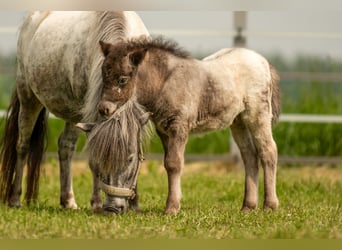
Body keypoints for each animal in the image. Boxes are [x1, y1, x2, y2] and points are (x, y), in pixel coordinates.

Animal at [0, 10, 150, 212]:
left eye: (130, 159)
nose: (112, 208)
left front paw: (135, 204)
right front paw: (96, 203)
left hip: (73, 114)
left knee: (65, 146)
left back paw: (68, 201)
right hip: (29, 99)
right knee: (23, 145)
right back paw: (15, 199)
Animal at [97, 35, 280, 215]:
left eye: (122, 79)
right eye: (103, 76)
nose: (103, 109)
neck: (164, 82)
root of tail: (262, 61)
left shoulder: (179, 126)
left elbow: (174, 163)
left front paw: (172, 208)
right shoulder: (163, 130)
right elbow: (167, 163)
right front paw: (174, 204)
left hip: (258, 116)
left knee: (268, 151)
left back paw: (270, 205)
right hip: (238, 122)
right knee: (250, 155)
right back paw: (248, 206)